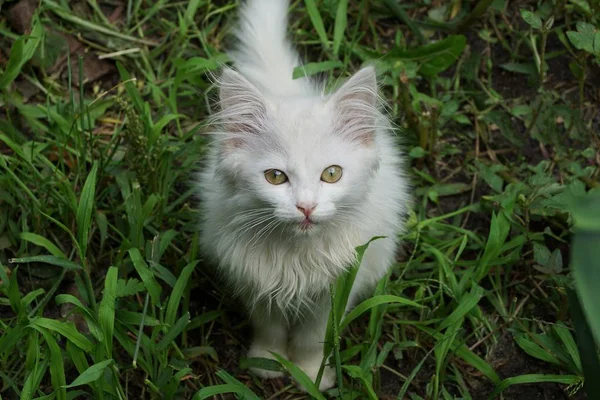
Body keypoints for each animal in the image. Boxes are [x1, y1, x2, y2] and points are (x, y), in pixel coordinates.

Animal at [199, 0, 410, 390]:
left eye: (332, 174)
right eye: (275, 177)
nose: (306, 206)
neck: (297, 257)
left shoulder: (336, 290)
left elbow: (314, 338)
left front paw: (311, 376)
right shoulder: (258, 283)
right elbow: (268, 328)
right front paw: (267, 363)